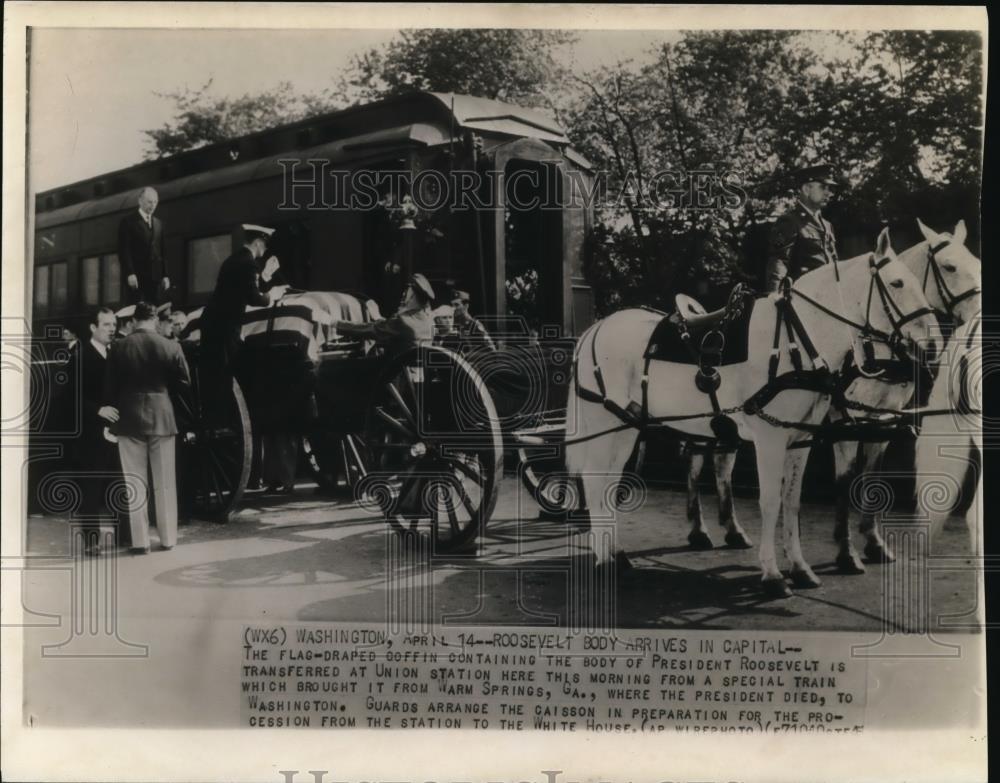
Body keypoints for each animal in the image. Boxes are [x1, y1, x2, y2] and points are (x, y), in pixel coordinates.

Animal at [568, 230, 940, 596]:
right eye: (897, 283)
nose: (932, 346)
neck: (795, 340)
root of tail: (594, 330)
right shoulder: (770, 437)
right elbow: (770, 502)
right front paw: (773, 574)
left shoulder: (800, 438)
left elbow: (791, 502)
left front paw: (800, 569)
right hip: (605, 424)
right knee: (594, 481)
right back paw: (604, 561)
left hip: (627, 426)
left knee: (609, 481)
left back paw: (617, 553)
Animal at [684, 217, 980, 572]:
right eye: (950, 266)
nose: (980, 315)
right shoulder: (845, 422)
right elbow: (845, 480)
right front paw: (846, 551)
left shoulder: (882, 421)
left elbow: (871, 477)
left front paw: (874, 543)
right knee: (696, 459)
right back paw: (699, 529)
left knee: (722, 461)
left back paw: (732, 529)